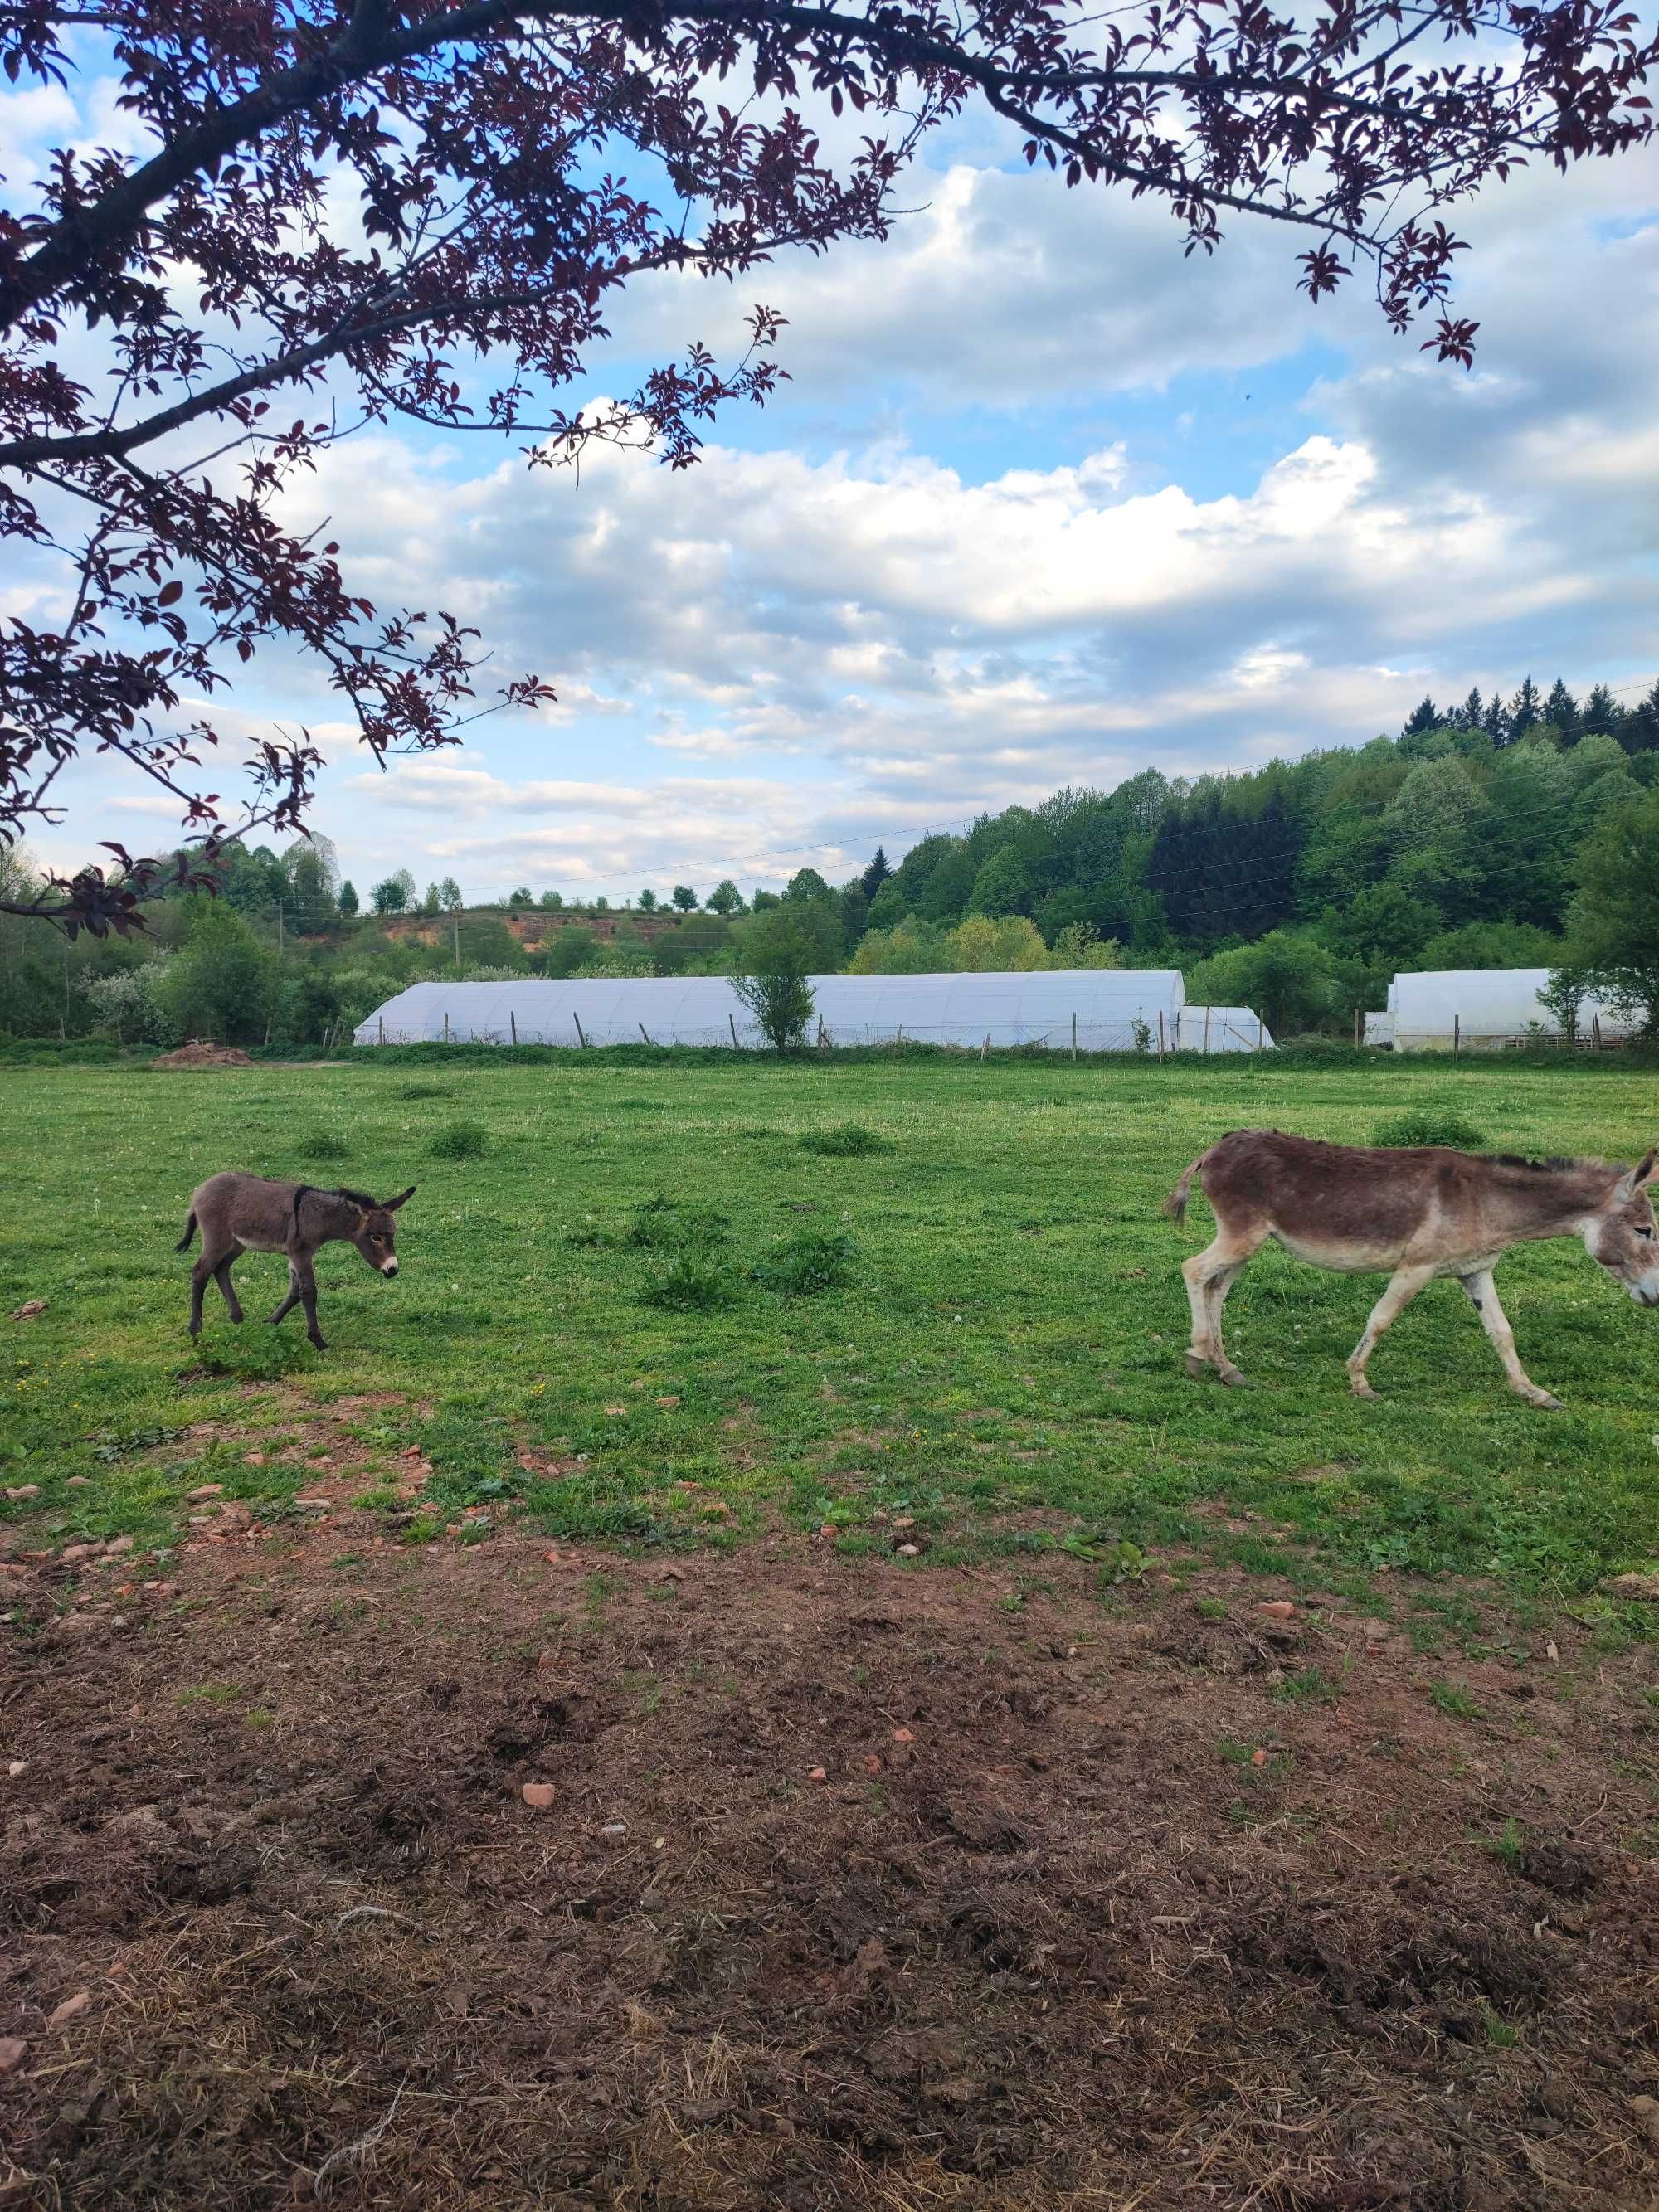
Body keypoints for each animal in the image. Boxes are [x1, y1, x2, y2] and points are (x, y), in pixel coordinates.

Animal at [177, 1176, 413, 1344]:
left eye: (393, 1235)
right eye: (376, 1237)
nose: (392, 1269)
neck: (317, 1215)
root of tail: (200, 1190)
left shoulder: (295, 1255)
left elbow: (294, 1292)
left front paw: (270, 1323)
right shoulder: (301, 1252)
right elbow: (308, 1292)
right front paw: (318, 1341)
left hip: (236, 1244)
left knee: (221, 1269)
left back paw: (237, 1318)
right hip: (217, 1238)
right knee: (200, 1272)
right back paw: (196, 1332)